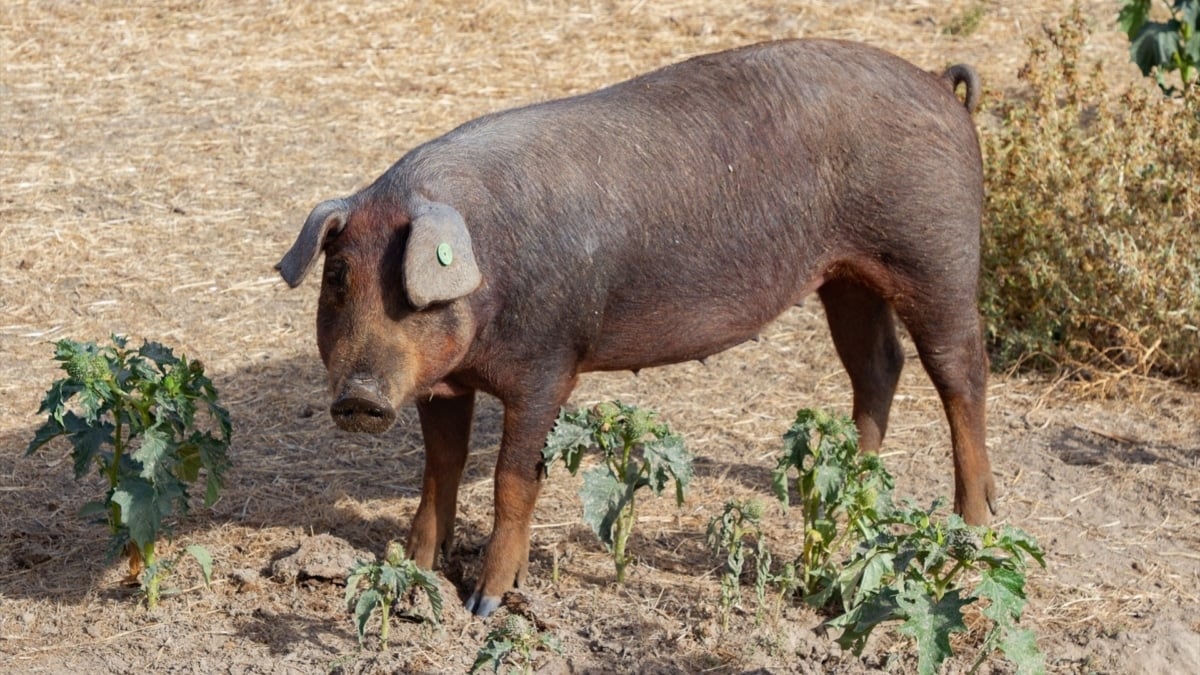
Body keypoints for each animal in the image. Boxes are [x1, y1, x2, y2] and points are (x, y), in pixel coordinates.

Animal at [277, 38, 996, 617]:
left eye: (412, 290)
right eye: (337, 277)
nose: (359, 398)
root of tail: (938, 83)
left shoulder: (548, 366)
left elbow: (514, 480)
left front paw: (484, 605)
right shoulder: (444, 384)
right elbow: (439, 469)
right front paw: (411, 568)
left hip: (936, 253)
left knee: (960, 371)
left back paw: (976, 522)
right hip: (844, 277)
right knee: (878, 366)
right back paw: (835, 487)